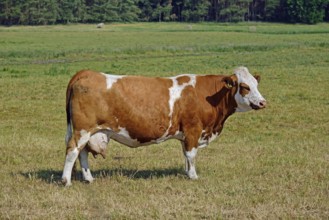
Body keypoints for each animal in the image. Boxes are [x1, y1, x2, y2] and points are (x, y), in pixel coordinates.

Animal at [61, 66, 266, 186]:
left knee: (83, 153)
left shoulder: (186, 134)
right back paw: (66, 180)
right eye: (245, 86)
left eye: (256, 84)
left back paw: (89, 178)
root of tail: (86, 73)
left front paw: (187, 172)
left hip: (89, 131)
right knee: (72, 151)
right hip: (82, 130)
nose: (263, 102)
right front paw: (193, 176)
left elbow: (186, 155)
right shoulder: (193, 129)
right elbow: (191, 154)